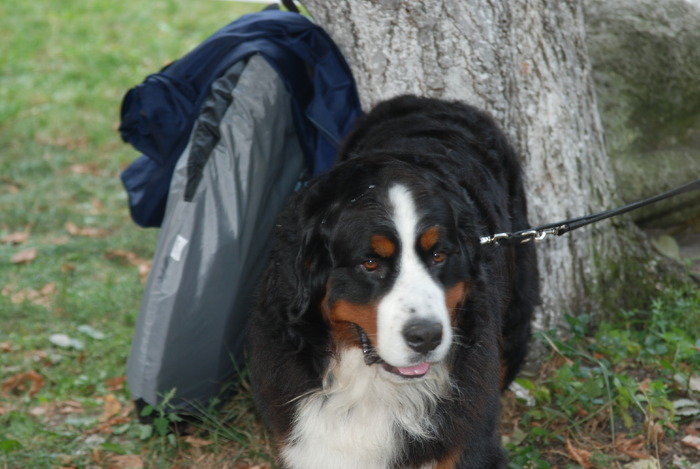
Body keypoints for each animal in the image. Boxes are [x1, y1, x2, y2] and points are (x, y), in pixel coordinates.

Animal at [249, 96, 540, 468]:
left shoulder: (466, 443)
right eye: (371, 263)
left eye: (438, 255)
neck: (371, 387)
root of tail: (432, 100)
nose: (427, 336)